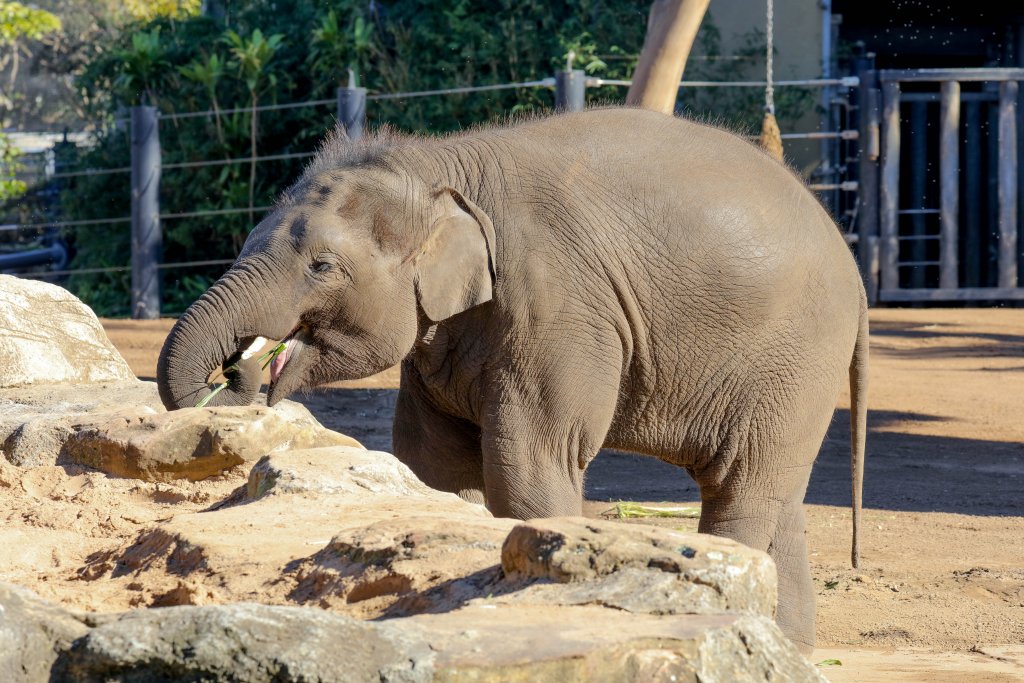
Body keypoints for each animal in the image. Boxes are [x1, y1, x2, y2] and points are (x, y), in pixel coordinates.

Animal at [157, 107, 867, 652]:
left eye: (322, 266)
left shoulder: (557, 307)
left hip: (796, 357)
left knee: (741, 490)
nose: (234, 373)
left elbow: (529, 464)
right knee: (778, 496)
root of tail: (852, 261)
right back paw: (791, 645)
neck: (438, 167)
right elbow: (435, 467)